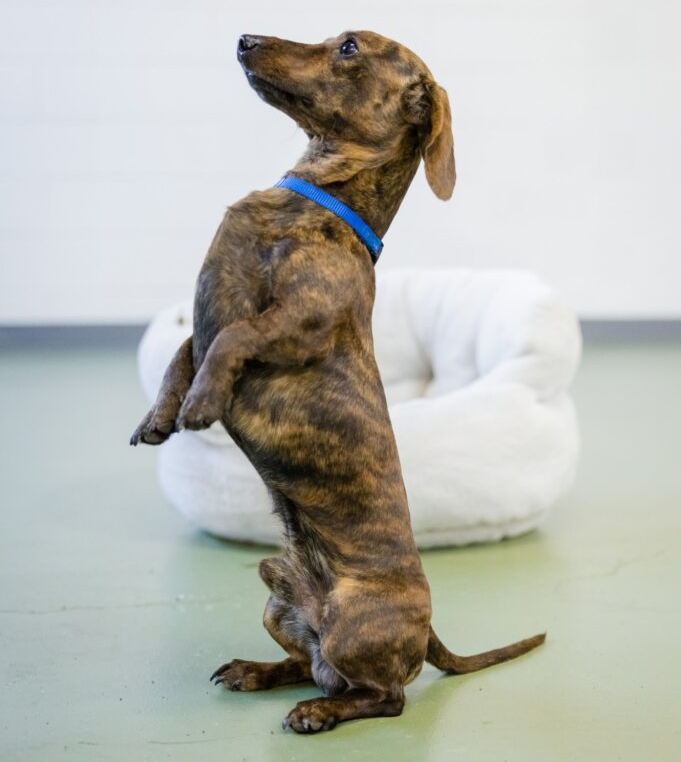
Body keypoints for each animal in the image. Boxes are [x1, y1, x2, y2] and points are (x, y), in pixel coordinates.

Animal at [130, 30, 545, 733]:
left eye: (349, 46)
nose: (244, 38)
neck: (312, 200)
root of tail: (429, 627)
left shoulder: (295, 323)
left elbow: (232, 342)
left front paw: (201, 403)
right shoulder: (206, 323)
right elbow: (183, 353)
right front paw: (159, 415)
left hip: (353, 622)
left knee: (384, 696)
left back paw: (317, 714)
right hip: (277, 597)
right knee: (308, 664)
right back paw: (257, 672)